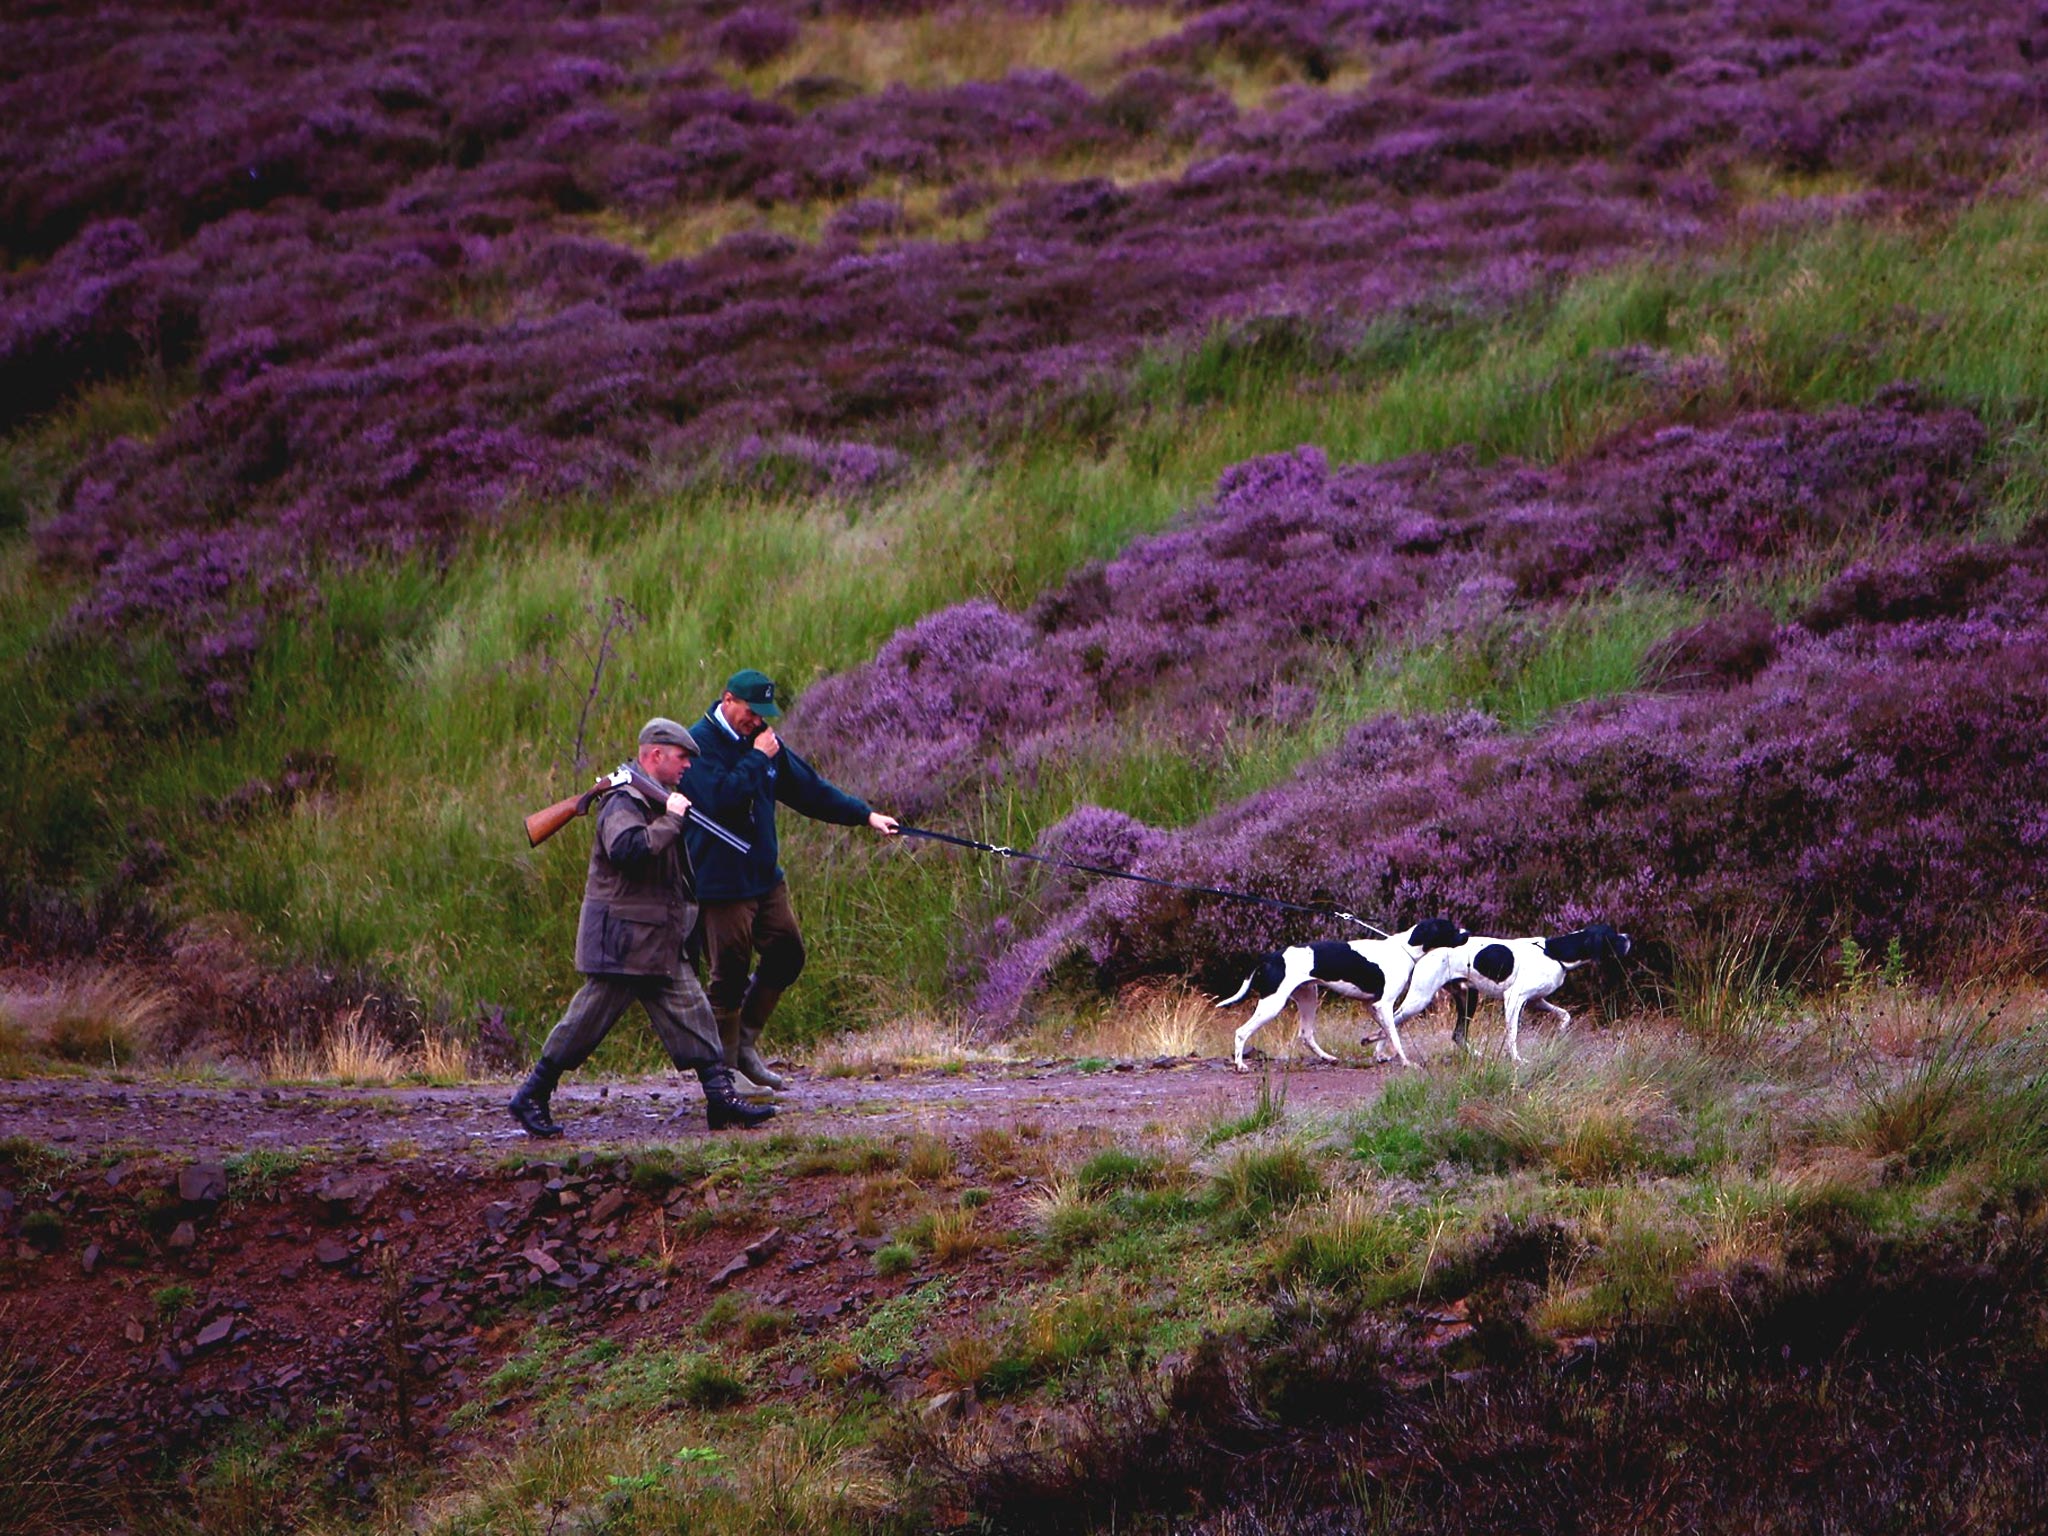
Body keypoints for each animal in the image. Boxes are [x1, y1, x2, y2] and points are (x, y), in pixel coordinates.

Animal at [1212, 921, 1474, 1073]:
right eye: (1450, 927)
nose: (1468, 933)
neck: (1405, 948)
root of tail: (1270, 957)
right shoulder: (1384, 1004)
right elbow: (1396, 1036)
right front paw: (1406, 1062)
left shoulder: (1373, 1006)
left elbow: (1386, 1032)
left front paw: (1377, 1049)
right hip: (1272, 1004)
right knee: (1241, 1032)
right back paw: (1240, 1064)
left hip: (1308, 998)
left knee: (1306, 1034)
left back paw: (1328, 1058)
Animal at [1392, 921, 1630, 1064]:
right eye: (1613, 935)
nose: (1628, 937)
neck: (1554, 952)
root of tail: (1427, 951)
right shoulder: (1514, 998)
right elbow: (1513, 1034)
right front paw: (1516, 1059)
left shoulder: (1535, 1000)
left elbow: (1565, 1014)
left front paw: (1561, 1030)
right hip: (1419, 999)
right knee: (1392, 1021)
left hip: (1469, 998)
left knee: (1458, 1035)